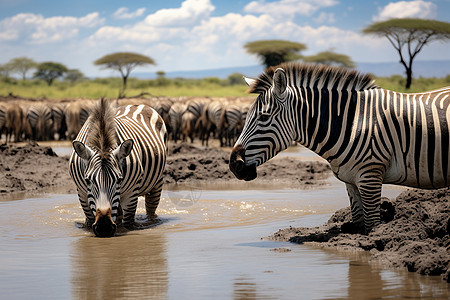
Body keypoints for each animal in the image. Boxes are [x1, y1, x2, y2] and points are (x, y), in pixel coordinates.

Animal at [69, 98, 168, 237]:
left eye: (119, 179)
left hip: (157, 183)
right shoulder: (82, 193)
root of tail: (135, 104)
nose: (104, 228)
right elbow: (89, 220)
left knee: (151, 209)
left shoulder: (131, 193)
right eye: (87, 180)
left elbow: (128, 224)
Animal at [230, 62, 448, 233]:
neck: (351, 124)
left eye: (263, 117)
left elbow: (372, 226)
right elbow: (359, 224)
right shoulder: (351, 181)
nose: (234, 165)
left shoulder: (370, 176)